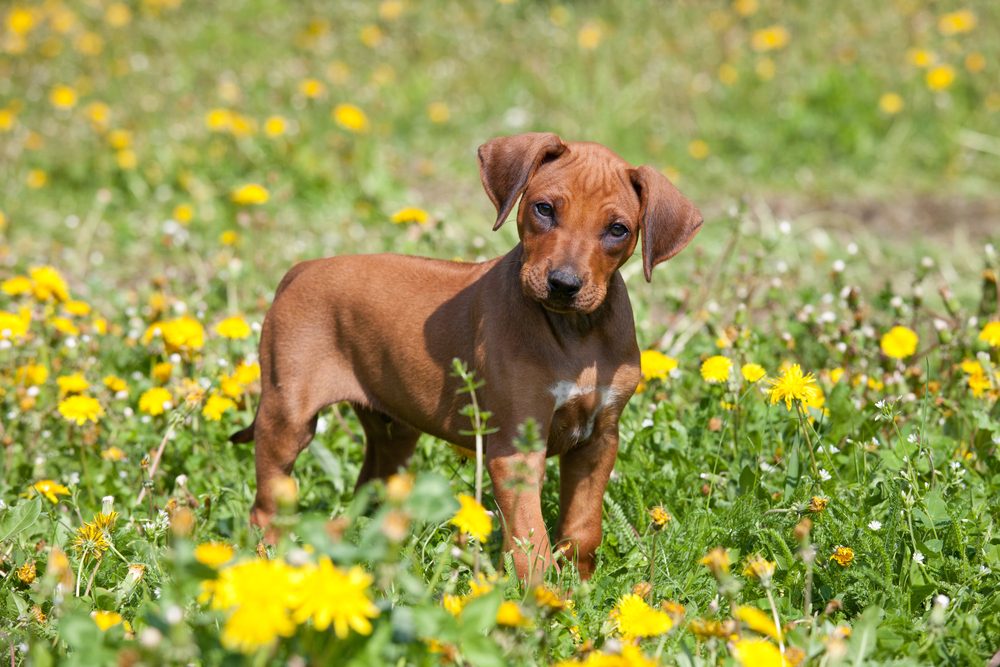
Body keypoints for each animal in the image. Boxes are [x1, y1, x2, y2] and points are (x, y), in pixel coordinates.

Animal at [232, 132, 704, 580]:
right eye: (544, 209)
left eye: (618, 230)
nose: (564, 284)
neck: (576, 333)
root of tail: (302, 268)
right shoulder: (517, 447)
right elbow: (530, 537)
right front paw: (540, 595)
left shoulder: (599, 439)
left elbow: (583, 527)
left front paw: (581, 587)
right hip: (287, 415)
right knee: (265, 506)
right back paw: (268, 563)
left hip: (394, 429)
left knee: (369, 488)